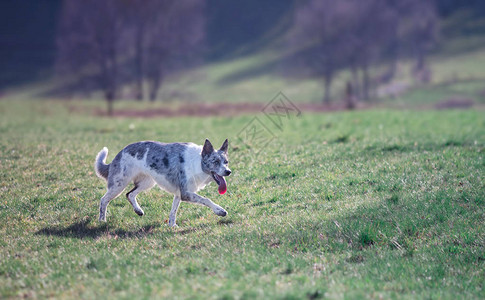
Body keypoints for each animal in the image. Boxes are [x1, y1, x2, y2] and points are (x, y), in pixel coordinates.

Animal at [95, 139, 232, 226]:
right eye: (215, 162)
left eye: (226, 162)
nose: (228, 172)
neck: (198, 163)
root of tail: (119, 154)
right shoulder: (186, 193)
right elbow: (206, 199)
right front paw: (220, 211)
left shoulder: (179, 193)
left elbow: (173, 211)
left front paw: (172, 226)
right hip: (119, 184)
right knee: (104, 200)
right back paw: (102, 220)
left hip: (147, 182)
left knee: (130, 194)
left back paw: (138, 210)